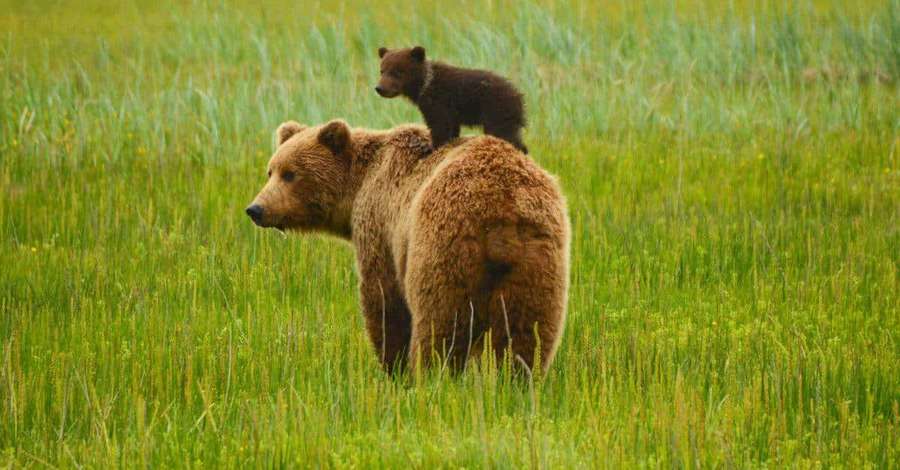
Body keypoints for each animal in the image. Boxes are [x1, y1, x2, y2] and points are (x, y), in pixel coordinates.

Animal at [246, 120, 568, 374]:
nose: (256, 209)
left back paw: (432, 377)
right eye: (271, 171)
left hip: (443, 247)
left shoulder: (380, 224)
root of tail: (501, 208)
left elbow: (383, 298)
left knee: (440, 323)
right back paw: (516, 381)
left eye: (291, 173)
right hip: (537, 259)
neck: (358, 186)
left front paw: (393, 366)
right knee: (527, 330)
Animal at [375, 46, 529, 154]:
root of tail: (519, 97)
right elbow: (452, 128)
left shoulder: (438, 101)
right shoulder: (449, 111)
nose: (379, 88)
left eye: (397, 71)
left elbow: (439, 125)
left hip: (496, 112)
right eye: (382, 70)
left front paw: (429, 146)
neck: (423, 86)